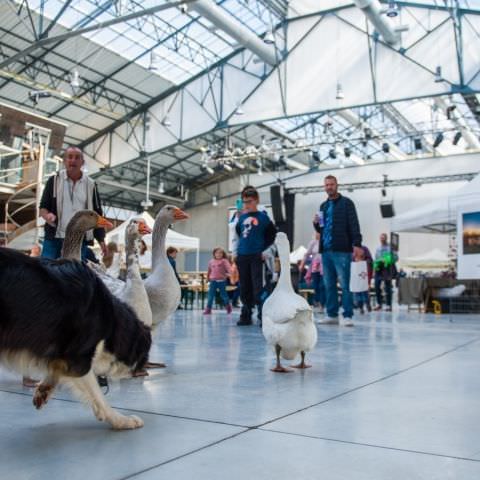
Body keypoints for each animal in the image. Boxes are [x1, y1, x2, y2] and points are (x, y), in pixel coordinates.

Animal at [0, 248, 151, 432]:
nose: (139, 371)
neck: (112, 320)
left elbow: (57, 367)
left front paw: (45, 388)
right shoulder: (79, 356)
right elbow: (97, 394)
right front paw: (121, 420)